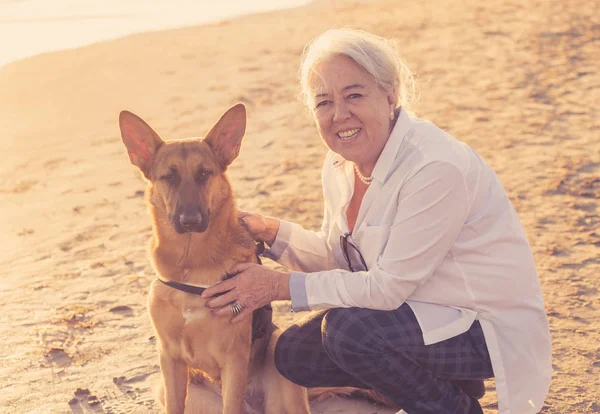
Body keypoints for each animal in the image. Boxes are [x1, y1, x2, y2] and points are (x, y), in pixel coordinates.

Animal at [118, 102, 310, 412]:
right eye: (168, 177)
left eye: (204, 174)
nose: (190, 221)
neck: (191, 263)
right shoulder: (169, 360)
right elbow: (174, 404)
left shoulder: (233, 361)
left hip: (277, 353)